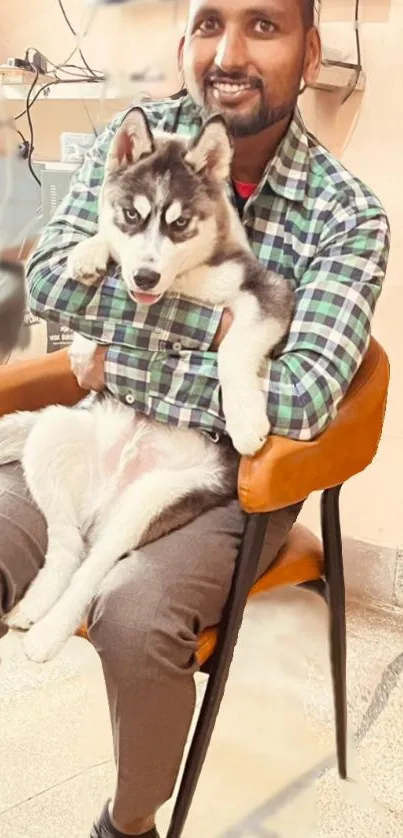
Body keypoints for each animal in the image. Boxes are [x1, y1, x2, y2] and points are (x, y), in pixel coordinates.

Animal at [0, 110, 294, 664]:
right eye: (131, 215)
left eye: (179, 223)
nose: (144, 276)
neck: (181, 280)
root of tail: (107, 495)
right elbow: (100, 244)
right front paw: (89, 253)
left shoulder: (267, 292)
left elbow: (233, 347)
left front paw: (245, 418)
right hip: (56, 433)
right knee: (69, 545)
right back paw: (36, 607)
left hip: (152, 500)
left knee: (94, 565)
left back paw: (49, 631)